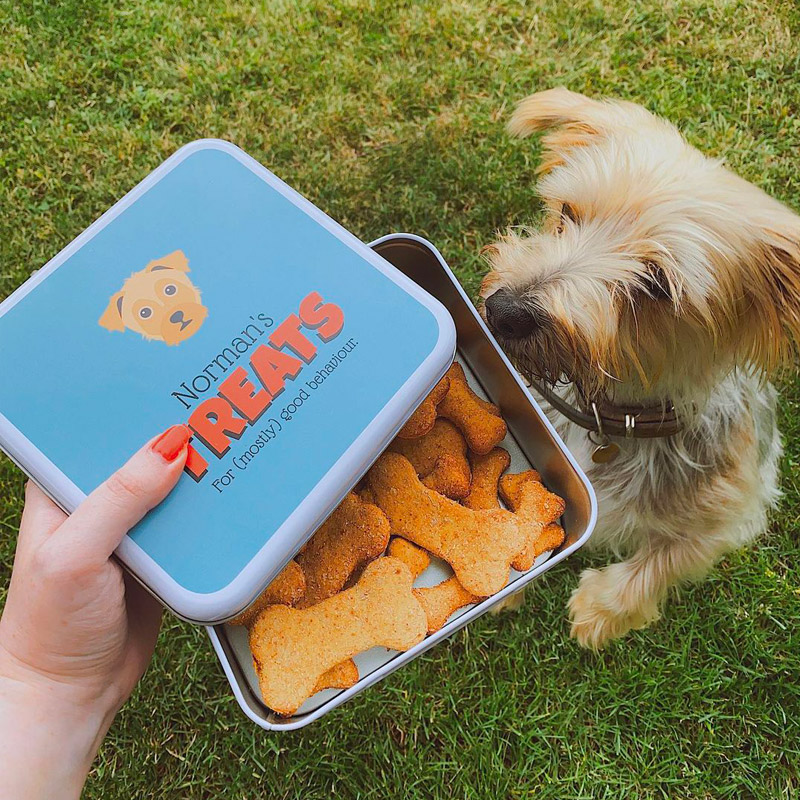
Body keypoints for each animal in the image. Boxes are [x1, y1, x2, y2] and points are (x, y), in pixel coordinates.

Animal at [478, 87, 796, 648]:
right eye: (567, 213)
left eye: (656, 285)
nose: (504, 310)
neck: (614, 417)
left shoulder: (738, 508)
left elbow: (672, 557)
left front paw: (601, 609)